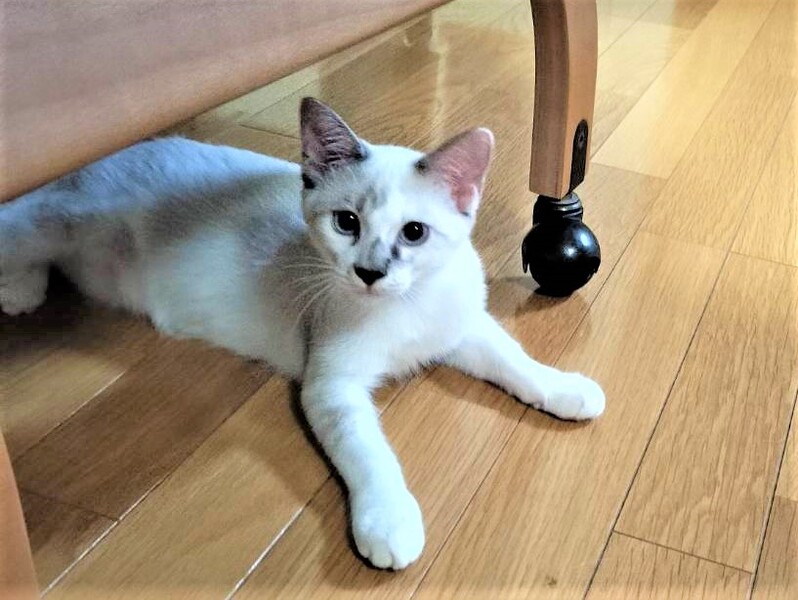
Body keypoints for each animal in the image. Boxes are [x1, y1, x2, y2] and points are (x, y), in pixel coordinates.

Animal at [0, 98, 604, 570]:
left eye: (414, 233)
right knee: (21, 223)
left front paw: (568, 390)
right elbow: (370, 454)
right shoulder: (332, 387)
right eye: (346, 223)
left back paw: (23, 290)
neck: (404, 308)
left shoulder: (462, 329)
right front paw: (390, 522)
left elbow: (516, 360)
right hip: (52, 222)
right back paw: (17, 288)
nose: (369, 272)